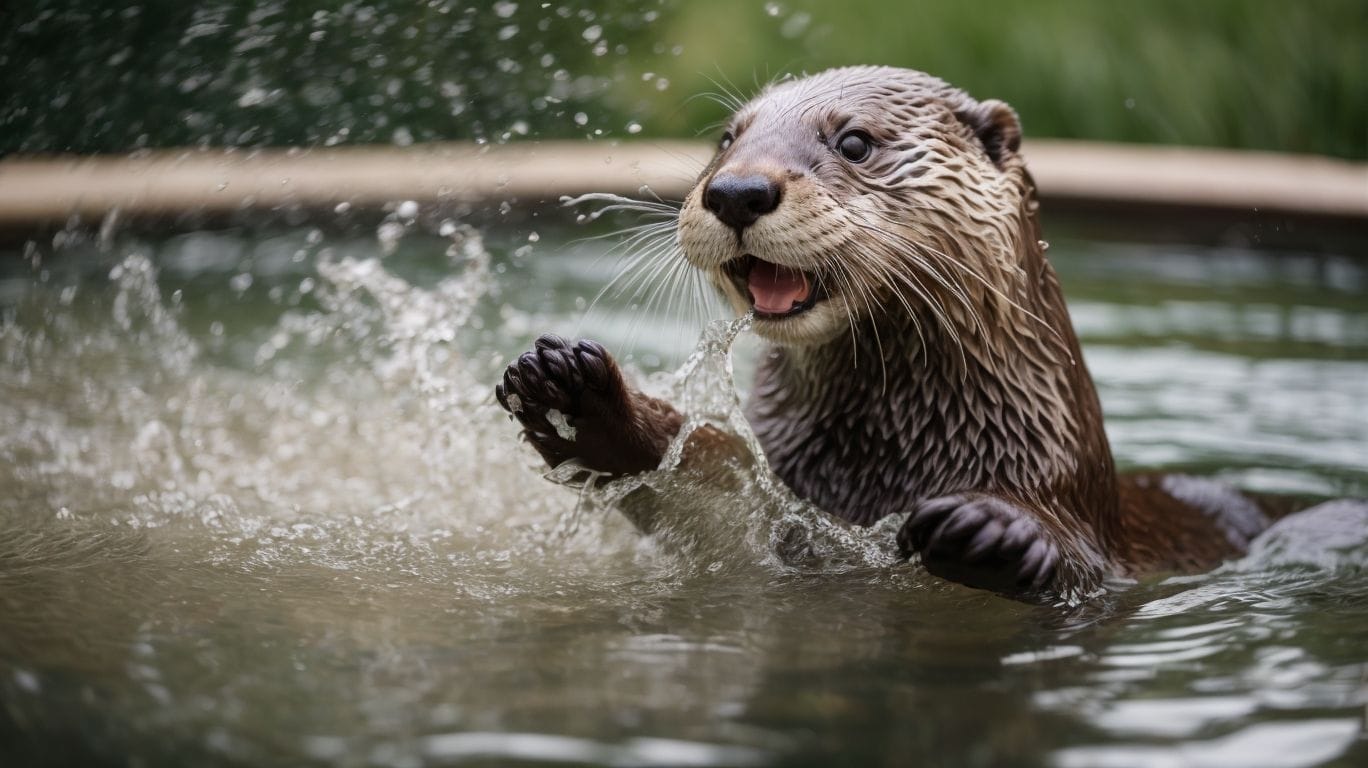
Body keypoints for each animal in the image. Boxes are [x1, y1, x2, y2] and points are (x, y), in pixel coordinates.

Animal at [494, 66, 1301, 601]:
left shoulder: (1089, 524)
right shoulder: (779, 507)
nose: (736, 190)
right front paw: (577, 396)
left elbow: (1072, 557)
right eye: (726, 139)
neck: (885, 457)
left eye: (854, 142)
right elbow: (702, 478)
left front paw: (995, 530)